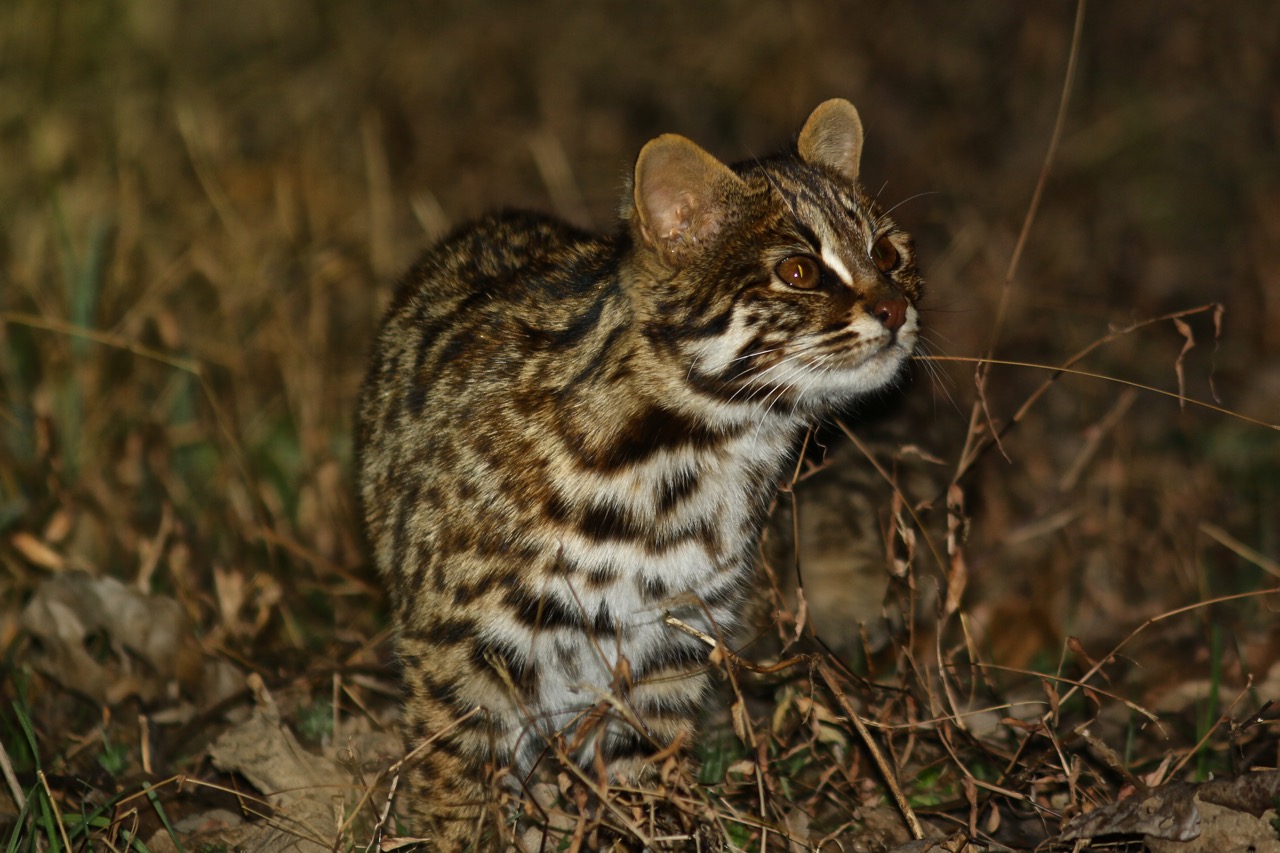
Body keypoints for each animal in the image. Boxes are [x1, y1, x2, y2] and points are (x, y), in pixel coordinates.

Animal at [355, 97, 926, 845]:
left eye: (887, 253)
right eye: (798, 272)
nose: (896, 308)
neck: (693, 454)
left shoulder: (673, 639)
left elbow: (645, 778)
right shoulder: (455, 645)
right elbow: (460, 787)